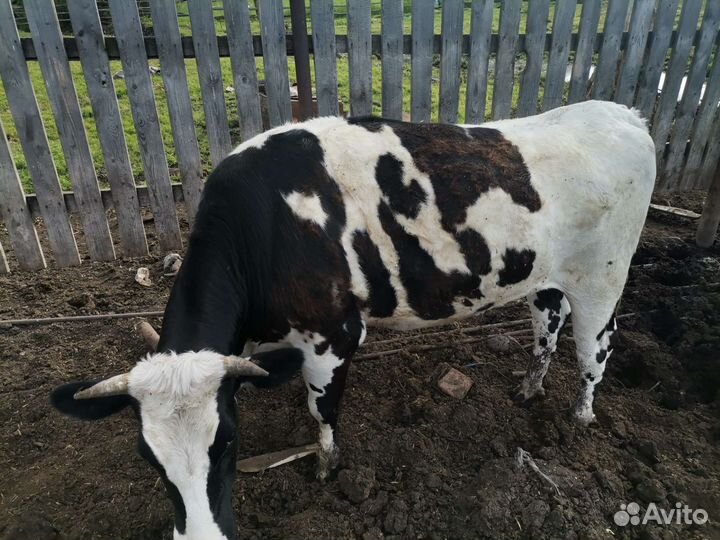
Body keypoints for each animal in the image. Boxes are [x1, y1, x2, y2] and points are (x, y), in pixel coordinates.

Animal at [51, 100, 655, 540]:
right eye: (147, 457)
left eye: (227, 442)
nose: (200, 537)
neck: (266, 227)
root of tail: (624, 114)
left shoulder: (333, 334)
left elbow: (323, 408)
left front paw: (325, 466)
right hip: (547, 276)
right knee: (547, 329)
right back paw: (530, 389)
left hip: (604, 277)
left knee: (595, 349)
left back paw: (578, 419)